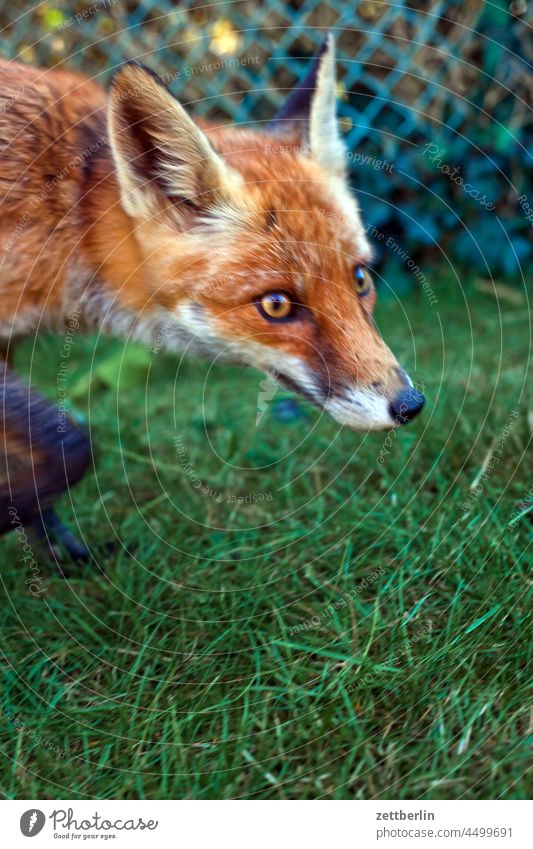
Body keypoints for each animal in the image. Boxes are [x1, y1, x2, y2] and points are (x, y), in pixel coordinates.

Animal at [0, 34, 424, 564]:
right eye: (276, 304)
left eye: (361, 279)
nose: (410, 405)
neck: (65, 217)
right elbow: (73, 445)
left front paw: (52, 541)